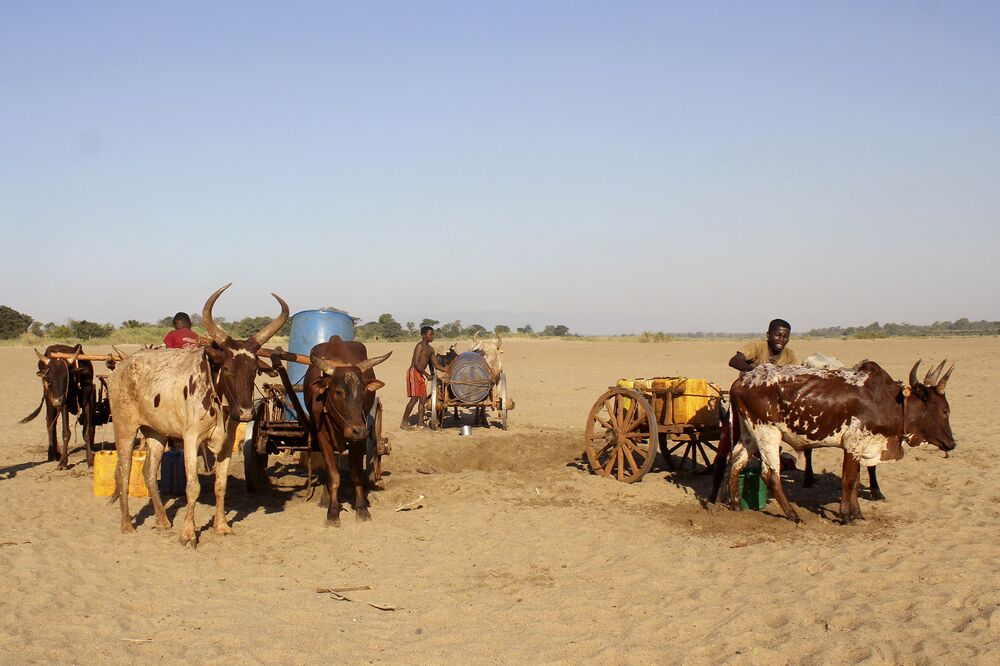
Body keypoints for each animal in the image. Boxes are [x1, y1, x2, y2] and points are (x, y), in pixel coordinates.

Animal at [110, 282, 290, 544]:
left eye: (255, 370)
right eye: (227, 368)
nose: (246, 413)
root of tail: (122, 366)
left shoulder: (226, 443)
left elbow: (220, 485)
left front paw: (221, 525)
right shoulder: (191, 439)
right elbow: (193, 487)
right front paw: (188, 533)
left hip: (156, 432)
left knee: (148, 472)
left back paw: (163, 521)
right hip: (124, 428)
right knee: (124, 472)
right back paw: (126, 524)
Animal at [302, 334, 388, 528]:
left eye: (363, 391)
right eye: (338, 391)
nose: (357, 431)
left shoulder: (361, 437)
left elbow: (356, 474)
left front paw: (362, 508)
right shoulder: (322, 437)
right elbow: (333, 476)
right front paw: (332, 512)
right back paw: (325, 498)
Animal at [728, 360, 952, 520]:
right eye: (945, 410)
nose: (952, 443)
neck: (889, 401)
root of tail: (741, 381)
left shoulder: (862, 447)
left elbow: (856, 480)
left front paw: (858, 513)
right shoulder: (853, 444)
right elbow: (849, 480)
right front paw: (845, 515)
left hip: (750, 435)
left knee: (736, 462)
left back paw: (736, 505)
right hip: (768, 434)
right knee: (770, 474)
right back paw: (793, 514)